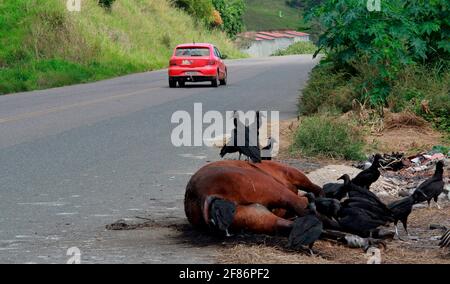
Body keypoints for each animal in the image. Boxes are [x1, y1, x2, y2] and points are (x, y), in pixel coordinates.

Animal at [185, 161, 326, 236]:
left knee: (287, 224)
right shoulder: (294, 175)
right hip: (268, 185)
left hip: (254, 216)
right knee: (302, 204)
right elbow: (315, 188)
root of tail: (201, 193)